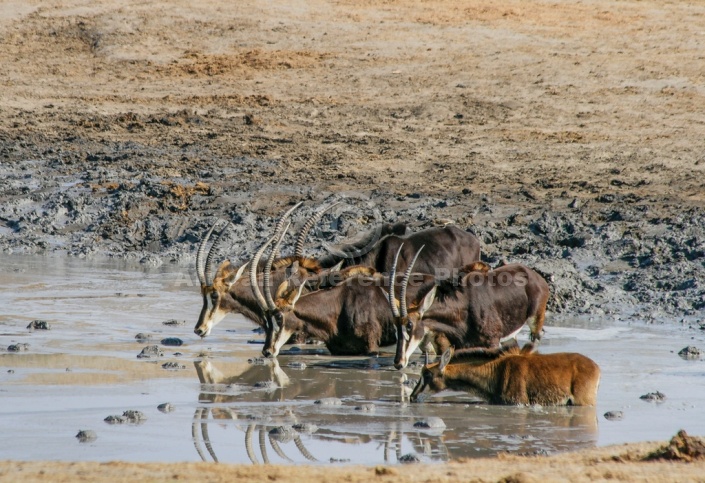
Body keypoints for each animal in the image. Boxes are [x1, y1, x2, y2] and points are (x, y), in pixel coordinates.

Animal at [390, 260, 552, 370]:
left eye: (410, 325)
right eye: (395, 326)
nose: (398, 363)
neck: (463, 304)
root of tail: (535, 276)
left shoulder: (492, 343)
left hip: (535, 321)